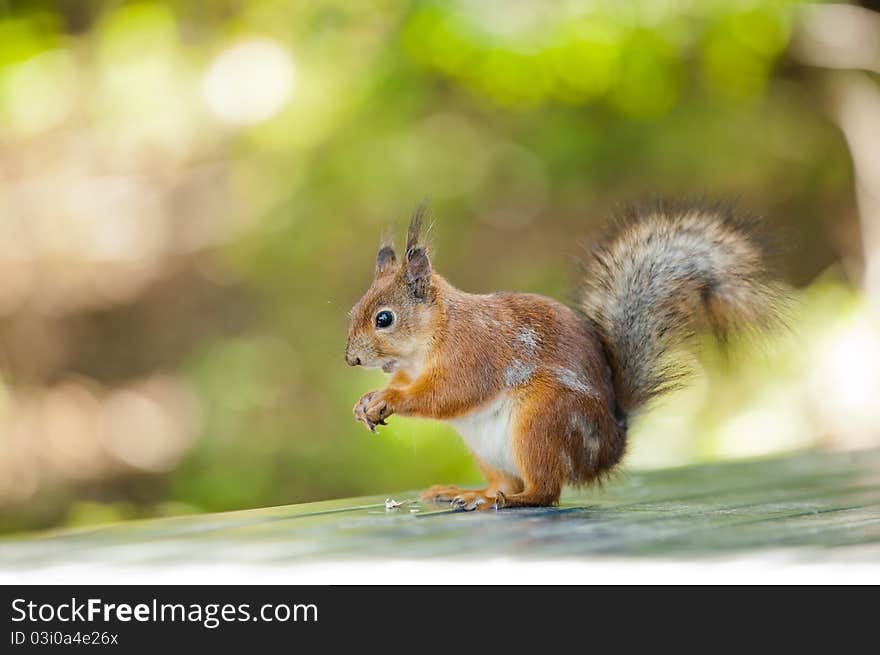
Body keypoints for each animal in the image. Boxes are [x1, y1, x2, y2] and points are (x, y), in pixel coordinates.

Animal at [344, 202, 784, 510]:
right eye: (352, 311)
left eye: (384, 318)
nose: (351, 360)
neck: (427, 341)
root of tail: (608, 445)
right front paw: (366, 401)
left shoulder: (474, 352)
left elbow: (449, 393)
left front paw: (389, 399)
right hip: (488, 449)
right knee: (508, 480)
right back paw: (471, 493)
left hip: (542, 423)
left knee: (543, 491)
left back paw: (504, 501)